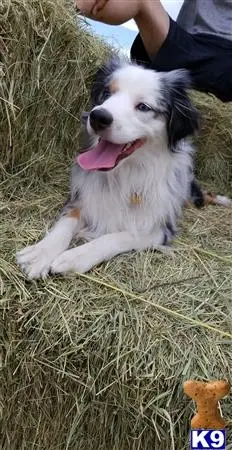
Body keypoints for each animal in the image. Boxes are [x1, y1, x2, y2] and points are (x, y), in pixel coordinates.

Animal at [15, 56, 230, 278]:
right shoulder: (82, 198)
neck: (125, 173)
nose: (98, 117)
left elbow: (119, 236)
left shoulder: (159, 228)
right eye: (107, 93)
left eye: (143, 107)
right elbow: (65, 224)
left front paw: (75, 257)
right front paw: (40, 253)